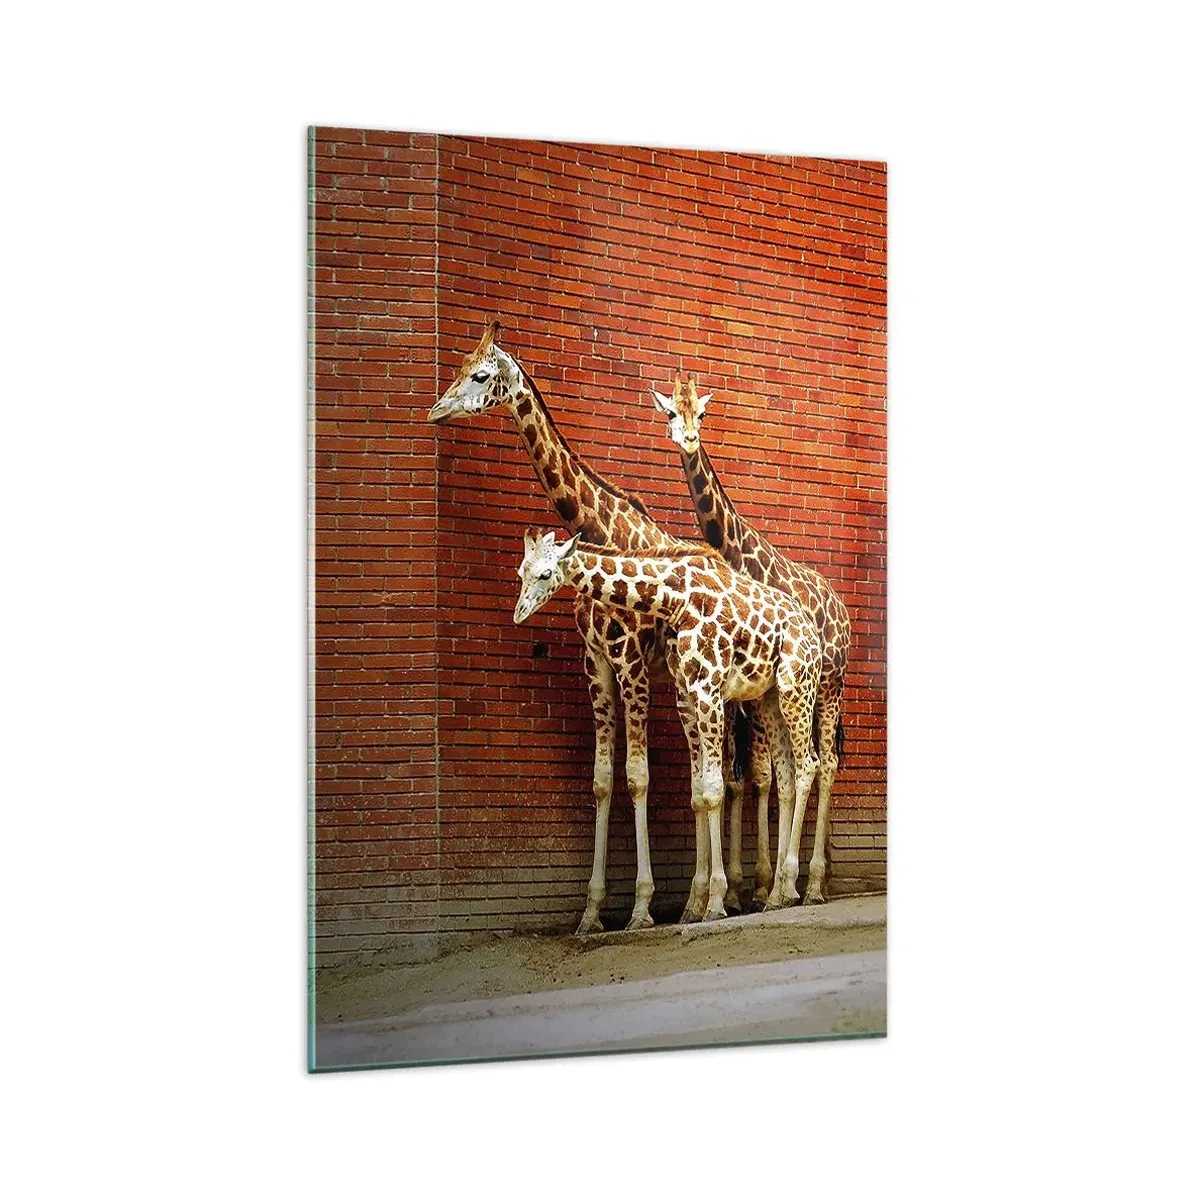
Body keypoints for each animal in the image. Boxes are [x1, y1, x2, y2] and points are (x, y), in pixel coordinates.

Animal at [427, 322, 766, 930]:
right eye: (460, 365)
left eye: (481, 375)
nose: (436, 410)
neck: (599, 528)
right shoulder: (598, 668)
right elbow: (604, 780)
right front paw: (591, 912)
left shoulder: (630, 664)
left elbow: (638, 777)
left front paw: (640, 908)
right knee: (713, 774)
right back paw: (705, 897)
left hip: (719, 691)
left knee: (731, 776)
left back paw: (734, 894)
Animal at [514, 530, 823, 919]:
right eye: (521, 571)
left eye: (545, 574)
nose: (519, 613)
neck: (675, 598)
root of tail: (812, 631)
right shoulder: (687, 693)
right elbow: (698, 792)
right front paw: (697, 902)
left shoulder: (706, 687)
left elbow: (713, 788)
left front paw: (714, 901)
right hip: (768, 698)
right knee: (785, 775)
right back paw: (778, 894)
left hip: (797, 685)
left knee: (809, 764)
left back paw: (795, 885)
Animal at [649, 374, 853, 905]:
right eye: (671, 413)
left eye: (701, 413)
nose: (689, 439)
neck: (741, 554)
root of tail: (843, 611)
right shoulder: (746, 690)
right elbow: (753, 775)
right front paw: (753, 887)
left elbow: (768, 774)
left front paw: (766, 885)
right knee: (805, 765)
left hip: (829, 688)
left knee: (826, 763)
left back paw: (814, 884)